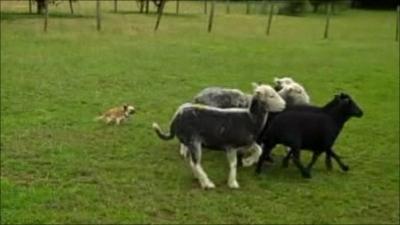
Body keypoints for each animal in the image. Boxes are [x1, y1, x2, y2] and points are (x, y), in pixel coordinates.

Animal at [152, 85, 286, 189]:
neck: (250, 118)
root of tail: (176, 118)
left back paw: (198, 177)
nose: (284, 105)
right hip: (194, 142)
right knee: (196, 163)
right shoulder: (230, 146)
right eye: (271, 96)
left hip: (190, 143)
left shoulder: (246, 142)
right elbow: (233, 164)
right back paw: (207, 183)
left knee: (191, 162)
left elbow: (259, 149)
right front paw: (233, 182)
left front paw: (247, 162)